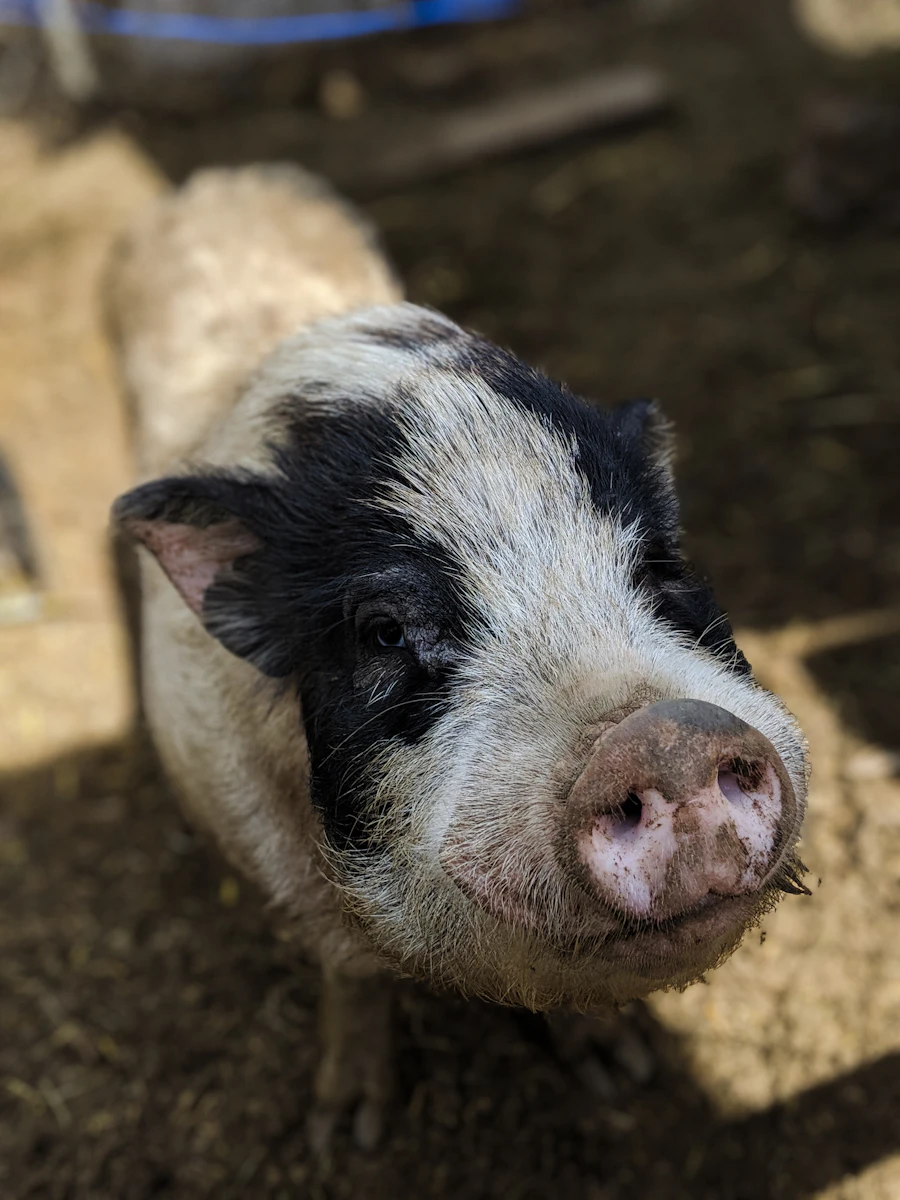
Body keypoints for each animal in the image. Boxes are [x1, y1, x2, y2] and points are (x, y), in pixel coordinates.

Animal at [108, 164, 810, 1147]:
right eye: (384, 631)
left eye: (659, 567)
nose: (667, 736)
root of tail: (223, 181)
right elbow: (351, 975)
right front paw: (348, 1133)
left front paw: (622, 1071)